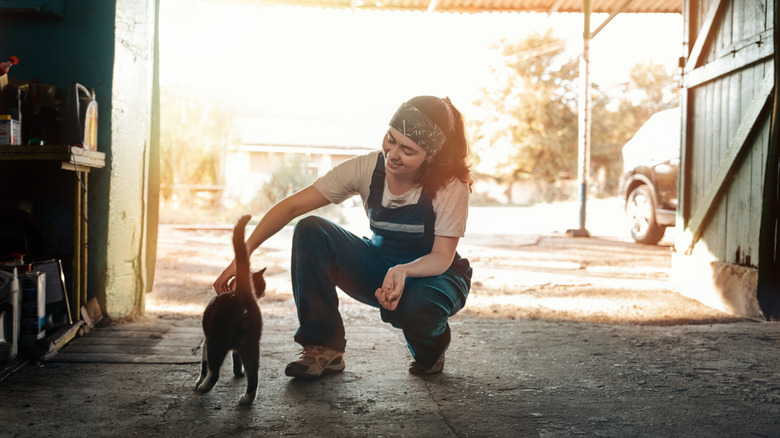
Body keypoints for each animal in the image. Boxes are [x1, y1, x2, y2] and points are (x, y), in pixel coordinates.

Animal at [195, 214, 266, 406]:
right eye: (263, 284)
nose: (264, 292)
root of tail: (242, 293)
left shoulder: (207, 341)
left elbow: (204, 366)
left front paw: (198, 381)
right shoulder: (237, 348)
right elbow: (237, 360)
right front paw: (238, 373)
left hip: (217, 340)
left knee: (214, 372)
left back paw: (203, 387)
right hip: (250, 343)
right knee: (254, 374)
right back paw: (247, 399)